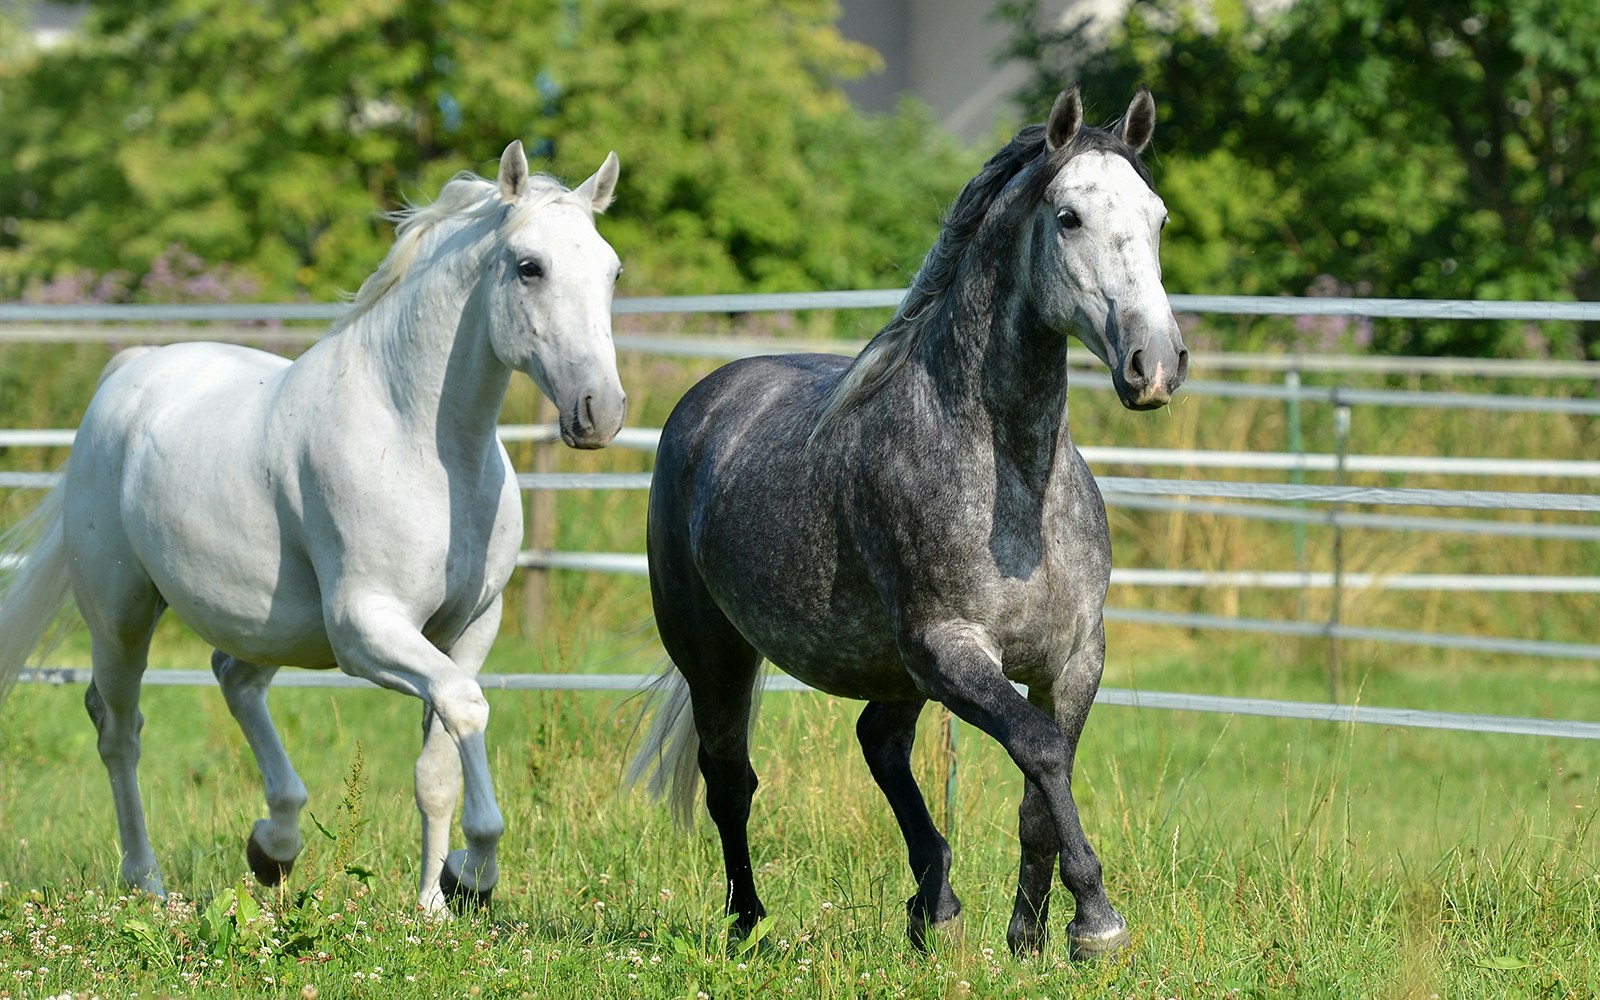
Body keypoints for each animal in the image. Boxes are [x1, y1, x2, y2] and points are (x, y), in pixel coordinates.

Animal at [0, 140, 624, 915]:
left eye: (611, 271)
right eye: (529, 266)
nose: (600, 411)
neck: (421, 444)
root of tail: (130, 370)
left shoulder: (470, 628)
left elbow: (439, 759)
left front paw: (440, 898)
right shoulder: (366, 630)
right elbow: (465, 708)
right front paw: (465, 877)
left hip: (266, 621)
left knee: (233, 679)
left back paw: (274, 846)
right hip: (121, 614)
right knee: (120, 730)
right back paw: (148, 883)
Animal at [633, 87, 1190, 960]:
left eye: (1158, 216)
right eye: (1068, 217)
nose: (1155, 364)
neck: (1013, 489)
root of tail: (706, 400)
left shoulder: (1073, 658)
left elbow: (1044, 784)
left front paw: (1029, 938)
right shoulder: (951, 648)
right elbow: (1037, 749)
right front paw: (1096, 922)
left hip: (891, 671)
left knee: (879, 745)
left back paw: (935, 906)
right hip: (718, 655)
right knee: (730, 781)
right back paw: (751, 926)